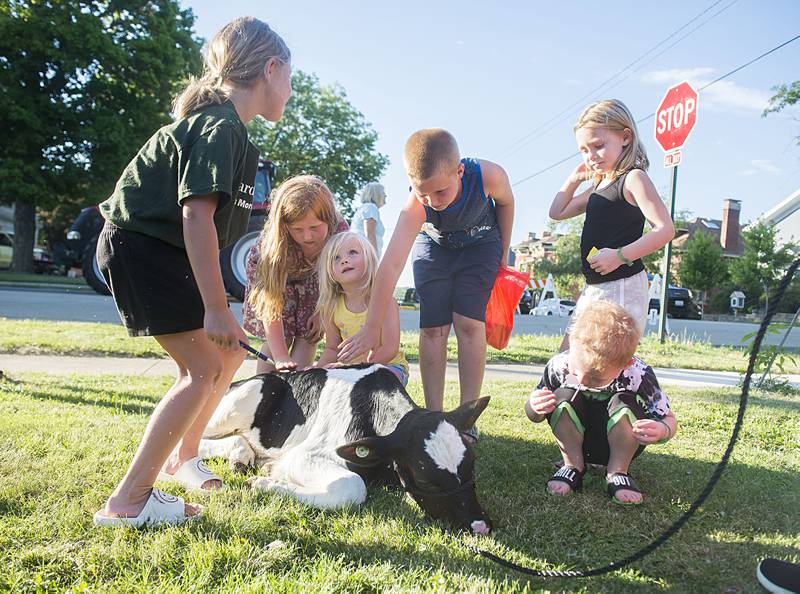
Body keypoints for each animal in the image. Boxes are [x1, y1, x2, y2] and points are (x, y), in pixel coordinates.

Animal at [197, 360, 490, 532]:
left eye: (472, 466)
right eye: (425, 480)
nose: (481, 526)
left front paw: (268, 475)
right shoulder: (303, 456)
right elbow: (352, 486)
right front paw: (265, 483)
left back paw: (242, 456)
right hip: (247, 397)